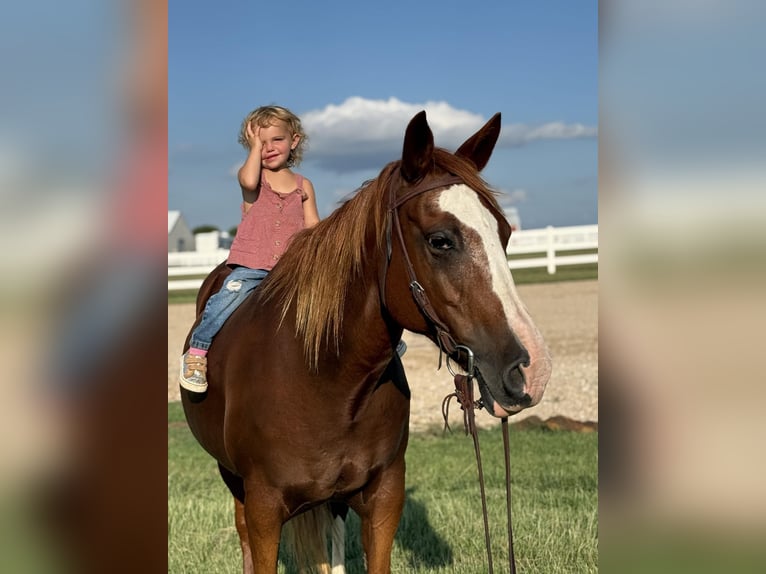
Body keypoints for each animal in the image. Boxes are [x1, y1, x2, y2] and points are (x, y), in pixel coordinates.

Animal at [181, 111, 552, 573]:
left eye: (504, 234)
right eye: (440, 240)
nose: (531, 368)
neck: (324, 377)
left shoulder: (384, 499)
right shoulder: (264, 507)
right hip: (232, 480)